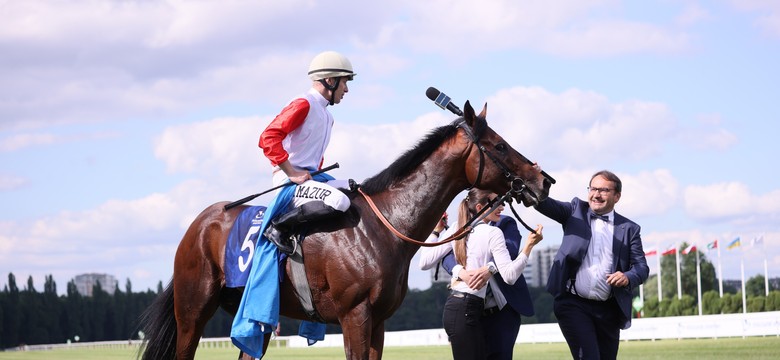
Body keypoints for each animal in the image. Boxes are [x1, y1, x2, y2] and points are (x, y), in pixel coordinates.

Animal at [142, 101, 556, 360]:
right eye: (499, 145)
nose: (544, 180)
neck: (385, 226)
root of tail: (199, 224)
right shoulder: (353, 315)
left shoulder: (379, 321)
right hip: (192, 312)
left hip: (252, 312)